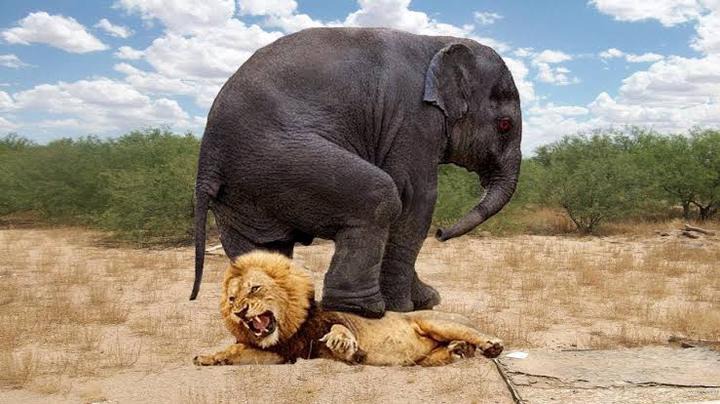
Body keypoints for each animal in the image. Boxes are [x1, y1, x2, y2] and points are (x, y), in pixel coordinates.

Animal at [193, 251, 503, 367]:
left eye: (255, 288)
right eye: (231, 299)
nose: (239, 312)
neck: (290, 327)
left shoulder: (334, 318)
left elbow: (339, 326)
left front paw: (343, 344)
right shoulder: (286, 353)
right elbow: (236, 351)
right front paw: (209, 358)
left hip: (437, 322)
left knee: (474, 334)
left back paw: (491, 346)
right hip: (423, 358)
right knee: (445, 353)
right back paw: (458, 350)